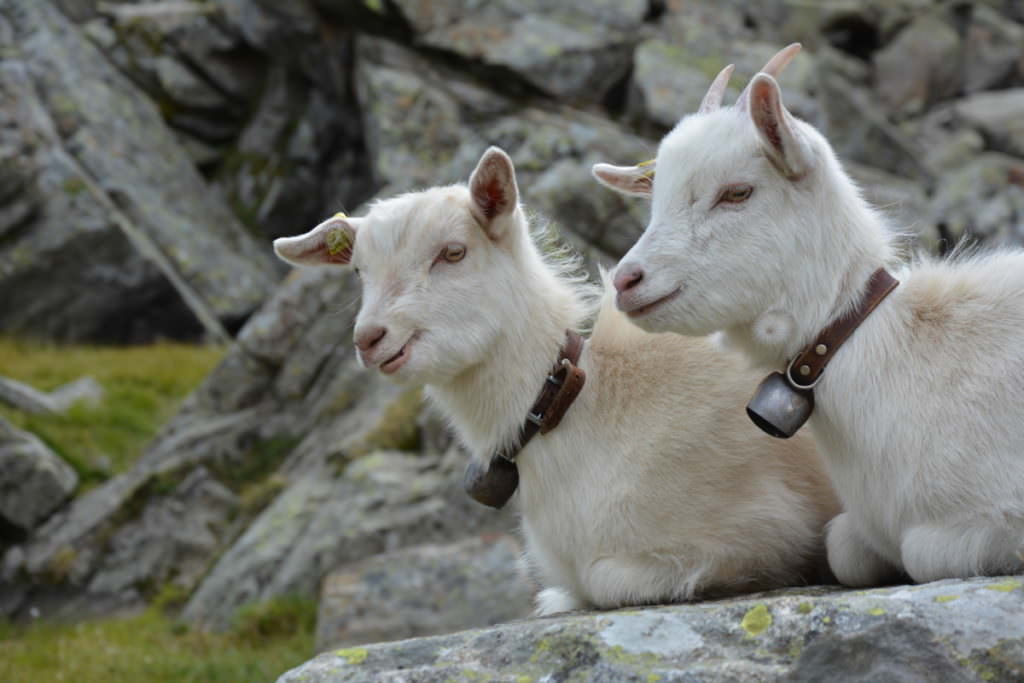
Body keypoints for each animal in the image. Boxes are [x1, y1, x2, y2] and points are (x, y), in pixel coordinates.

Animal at [274, 145, 839, 614]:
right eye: (357, 271)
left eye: (453, 252)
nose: (371, 338)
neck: (574, 402)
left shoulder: (763, 525)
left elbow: (605, 580)